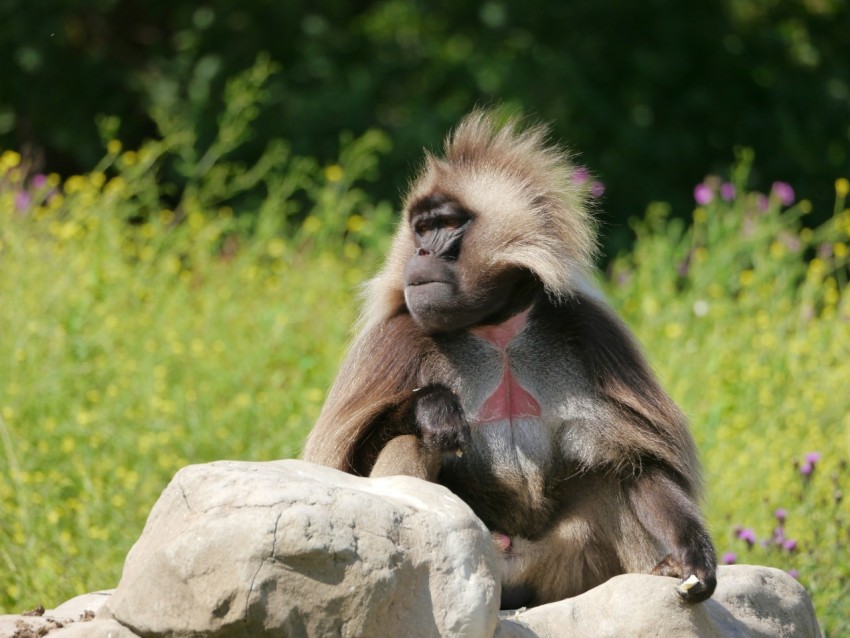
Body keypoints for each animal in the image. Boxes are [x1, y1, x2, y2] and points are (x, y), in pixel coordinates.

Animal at [302, 110, 717, 609]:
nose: (419, 253)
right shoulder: (391, 343)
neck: (494, 328)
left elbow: (639, 462)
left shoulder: (593, 331)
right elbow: (342, 469)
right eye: (419, 228)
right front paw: (433, 407)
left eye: (443, 224)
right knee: (414, 441)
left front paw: (692, 556)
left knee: (612, 477)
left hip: (562, 571)